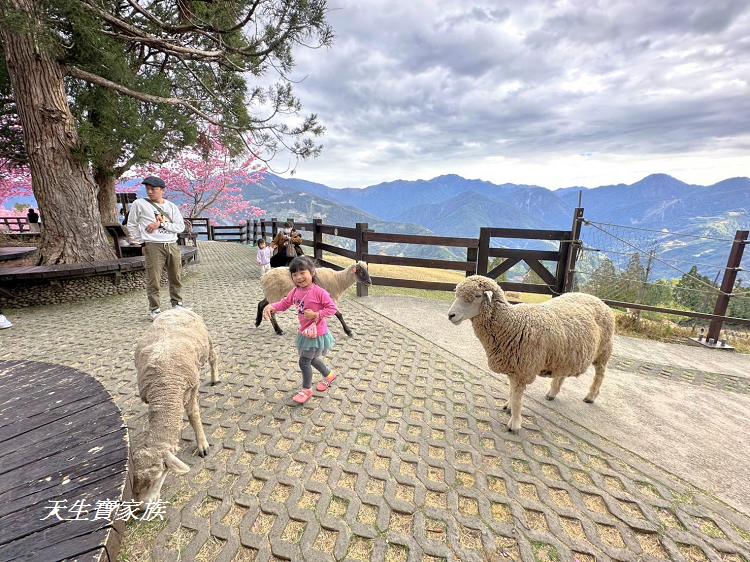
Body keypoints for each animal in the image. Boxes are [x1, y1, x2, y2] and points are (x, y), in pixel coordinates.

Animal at [128, 306, 217, 504]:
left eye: (157, 476)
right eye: (133, 479)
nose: (141, 508)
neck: (165, 389)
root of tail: (177, 308)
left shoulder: (191, 388)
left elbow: (193, 415)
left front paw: (202, 445)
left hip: (208, 342)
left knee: (213, 359)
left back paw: (215, 378)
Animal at [450, 274, 612, 430]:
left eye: (477, 295)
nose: (450, 315)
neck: (512, 323)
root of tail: (598, 300)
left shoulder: (522, 369)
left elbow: (517, 397)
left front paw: (514, 423)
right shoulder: (513, 366)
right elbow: (511, 390)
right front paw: (508, 406)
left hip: (603, 350)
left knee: (600, 374)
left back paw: (591, 396)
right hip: (565, 354)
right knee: (562, 373)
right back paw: (552, 393)